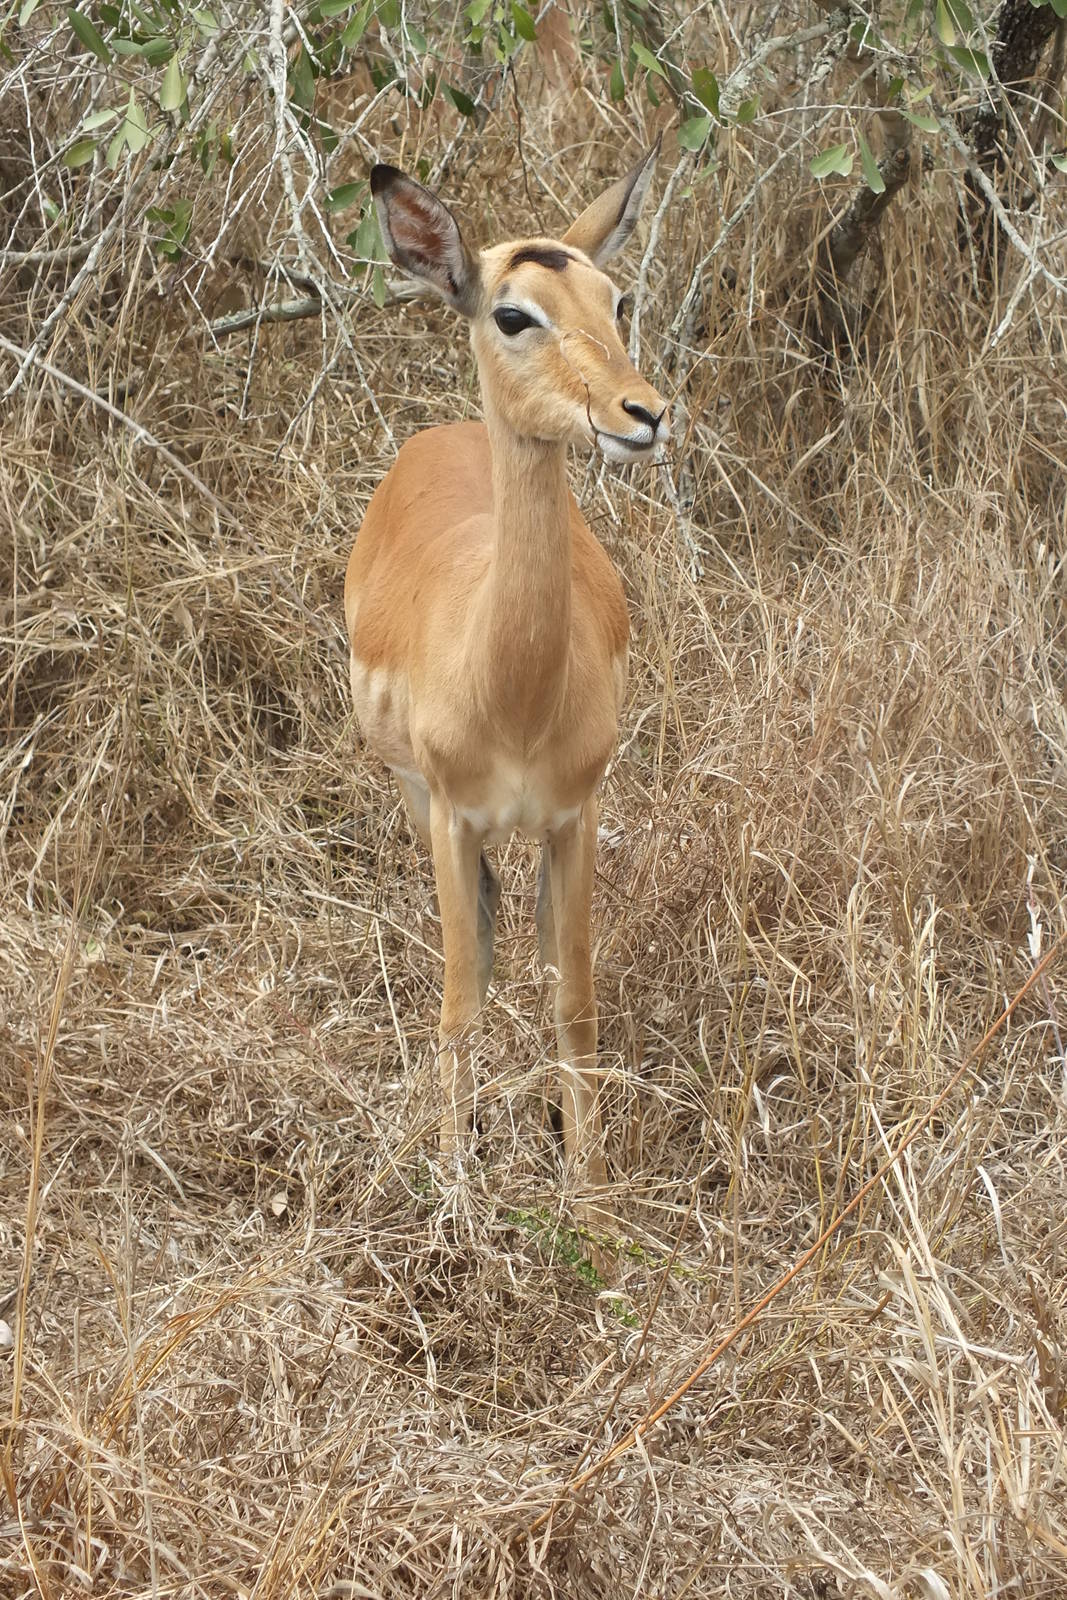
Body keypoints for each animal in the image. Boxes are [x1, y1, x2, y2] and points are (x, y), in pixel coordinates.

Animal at [345, 144, 669, 1201]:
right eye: (512, 313)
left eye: (617, 300)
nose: (643, 413)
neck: (516, 695)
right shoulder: (450, 814)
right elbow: (459, 1000)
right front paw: (456, 1178)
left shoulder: (577, 813)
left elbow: (574, 1000)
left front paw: (589, 1183)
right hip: (411, 798)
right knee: (479, 945)